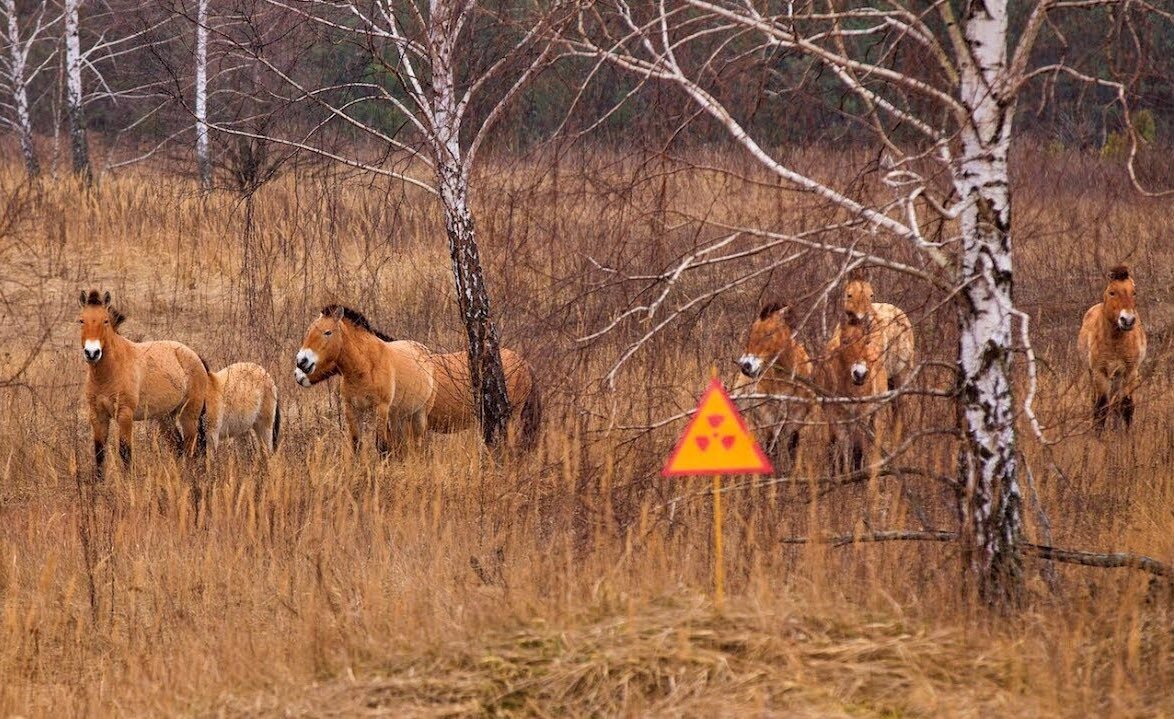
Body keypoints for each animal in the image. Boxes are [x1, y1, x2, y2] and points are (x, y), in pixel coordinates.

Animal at [78, 290, 209, 480]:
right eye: (81, 320)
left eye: (105, 321)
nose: (92, 353)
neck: (108, 373)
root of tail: (195, 355)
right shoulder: (97, 415)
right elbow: (99, 453)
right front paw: (99, 486)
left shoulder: (125, 415)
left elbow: (125, 452)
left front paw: (128, 483)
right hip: (165, 417)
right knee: (178, 446)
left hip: (189, 415)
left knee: (191, 448)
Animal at [294, 305, 434, 456]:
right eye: (309, 331)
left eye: (327, 332)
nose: (301, 362)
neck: (365, 367)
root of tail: (425, 351)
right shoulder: (352, 409)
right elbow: (356, 445)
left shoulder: (381, 409)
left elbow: (382, 446)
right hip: (398, 416)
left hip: (419, 415)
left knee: (417, 443)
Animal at [735, 302, 814, 467]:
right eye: (752, 332)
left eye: (769, 333)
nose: (746, 366)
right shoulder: (768, 416)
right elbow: (772, 445)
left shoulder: (797, 417)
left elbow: (792, 446)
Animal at [821, 320, 888, 474]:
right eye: (845, 341)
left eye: (866, 341)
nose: (860, 374)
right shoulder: (836, 417)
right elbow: (843, 448)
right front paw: (843, 475)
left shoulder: (863, 415)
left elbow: (858, 449)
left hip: (877, 415)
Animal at [1077, 265, 1147, 430]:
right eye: (1112, 292)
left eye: (1134, 292)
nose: (1127, 320)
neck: (1116, 342)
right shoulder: (1100, 372)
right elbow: (1101, 408)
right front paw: (1098, 435)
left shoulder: (1129, 371)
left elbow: (1126, 406)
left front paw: (1126, 435)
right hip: (1094, 374)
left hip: (1117, 377)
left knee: (1116, 404)